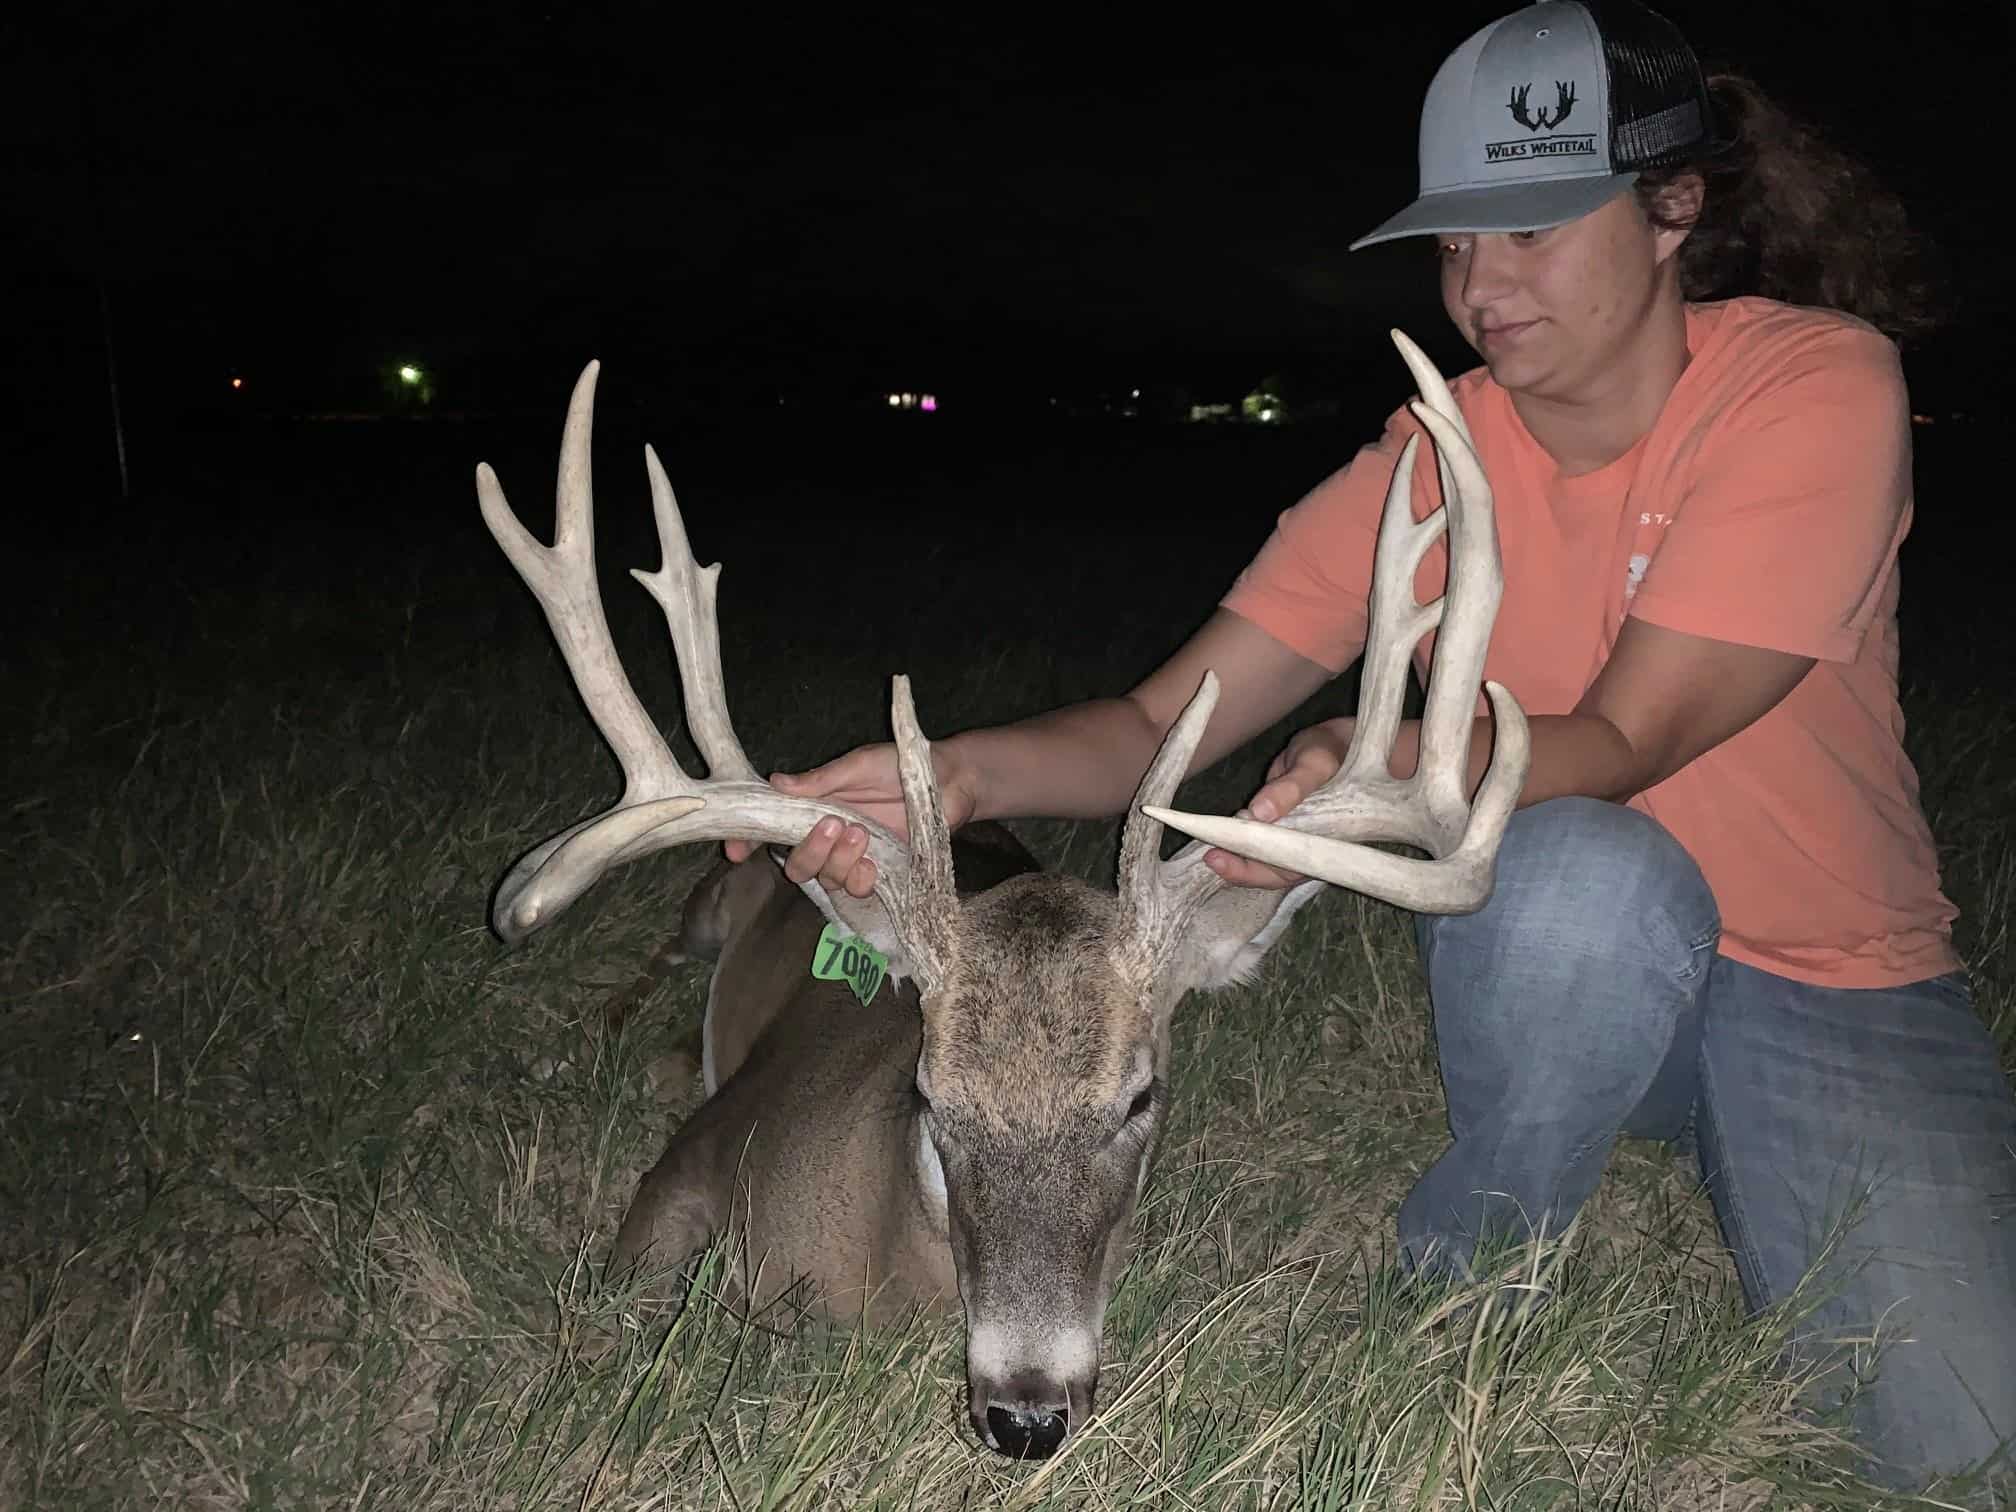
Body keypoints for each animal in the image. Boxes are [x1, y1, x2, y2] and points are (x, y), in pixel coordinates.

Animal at [474, 329, 1530, 1460]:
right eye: (931, 1094)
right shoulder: (693, 1161)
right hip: (716, 888)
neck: (885, 1273)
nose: (1025, 1413)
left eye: (1140, 1098)